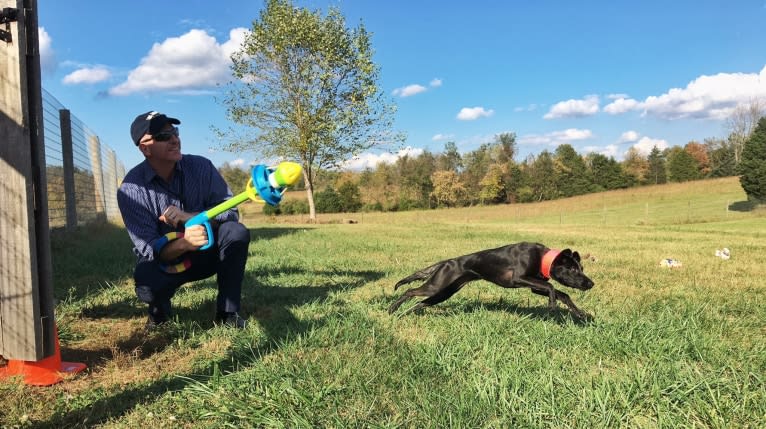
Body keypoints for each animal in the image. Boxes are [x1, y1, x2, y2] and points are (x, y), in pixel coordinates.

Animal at [388, 241, 596, 318]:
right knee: (410, 291)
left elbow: (563, 294)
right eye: (572, 269)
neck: (541, 257)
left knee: (421, 302)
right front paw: (552, 307)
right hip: (437, 285)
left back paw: (404, 313)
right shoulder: (519, 278)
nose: (590, 283)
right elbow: (552, 287)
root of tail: (447, 261)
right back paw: (392, 308)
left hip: (444, 292)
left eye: (582, 269)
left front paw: (580, 314)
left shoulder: (535, 286)